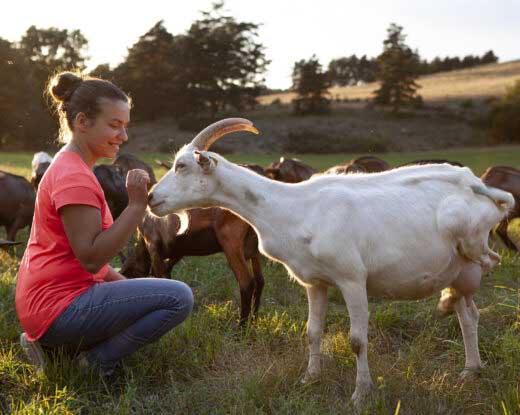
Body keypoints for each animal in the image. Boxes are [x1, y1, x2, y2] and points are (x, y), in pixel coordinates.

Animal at [148, 118, 512, 404]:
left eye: (183, 166)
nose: (152, 198)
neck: (292, 206)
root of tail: (475, 184)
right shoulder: (315, 282)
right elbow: (312, 331)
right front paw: (309, 379)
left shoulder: (352, 279)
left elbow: (357, 340)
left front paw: (360, 394)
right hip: (457, 268)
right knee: (469, 314)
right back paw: (470, 367)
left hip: (469, 238)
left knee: (490, 261)